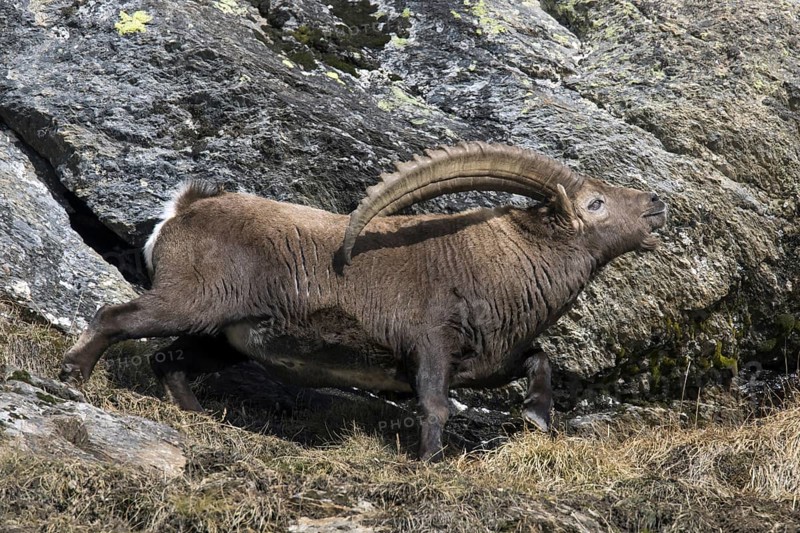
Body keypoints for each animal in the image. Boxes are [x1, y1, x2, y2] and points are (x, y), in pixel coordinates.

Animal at [60, 142, 667, 460]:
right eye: (594, 203)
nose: (656, 204)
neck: (507, 261)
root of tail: (183, 210)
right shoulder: (431, 345)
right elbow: (434, 404)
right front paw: (429, 461)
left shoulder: (487, 361)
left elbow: (539, 358)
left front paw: (539, 417)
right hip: (187, 302)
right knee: (114, 317)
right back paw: (73, 377)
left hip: (228, 336)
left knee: (168, 357)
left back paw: (201, 417)